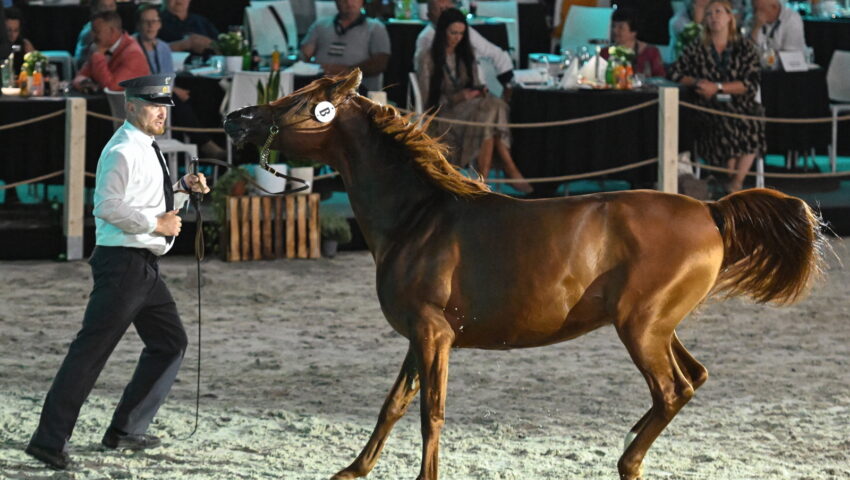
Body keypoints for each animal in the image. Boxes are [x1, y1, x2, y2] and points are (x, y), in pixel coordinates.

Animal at [224, 71, 820, 480]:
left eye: (298, 101)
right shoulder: (421, 337)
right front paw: (352, 469)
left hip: (642, 327)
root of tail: (711, 210)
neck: (419, 217)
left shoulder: (432, 334)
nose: (235, 120)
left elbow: (431, 412)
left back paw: (627, 462)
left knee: (673, 389)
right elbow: (394, 404)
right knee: (692, 379)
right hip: (658, 326)